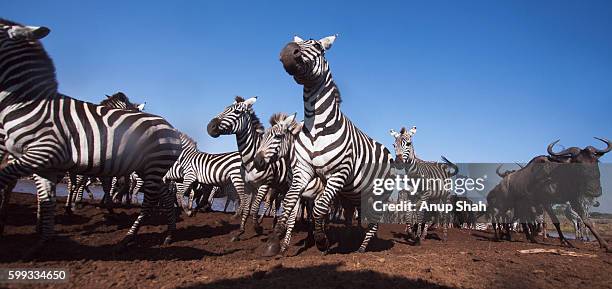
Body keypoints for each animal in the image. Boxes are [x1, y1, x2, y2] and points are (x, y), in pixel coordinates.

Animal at [0, 20, 182, 254]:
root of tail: (171, 128)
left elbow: (90, 184)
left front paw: (90, 207)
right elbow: (65, 189)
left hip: (151, 168)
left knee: (150, 200)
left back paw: (129, 238)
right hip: (148, 169)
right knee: (163, 195)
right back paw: (167, 234)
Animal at [207, 95, 296, 240]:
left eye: (236, 112)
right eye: (224, 108)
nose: (209, 127)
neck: (250, 158)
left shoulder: (264, 185)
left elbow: (254, 208)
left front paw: (257, 228)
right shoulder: (249, 185)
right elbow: (247, 208)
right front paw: (240, 231)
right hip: (279, 188)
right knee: (277, 204)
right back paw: (276, 224)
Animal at [266, 35, 392, 253]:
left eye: (318, 46)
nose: (288, 51)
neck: (317, 126)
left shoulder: (338, 173)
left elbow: (319, 208)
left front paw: (321, 241)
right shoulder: (303, 170)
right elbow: (290, 203)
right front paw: (275, 242)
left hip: (378, 196)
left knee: (374, 223)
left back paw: (362, 249)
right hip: (353, 194)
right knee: (354, 216)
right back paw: (351, 242)